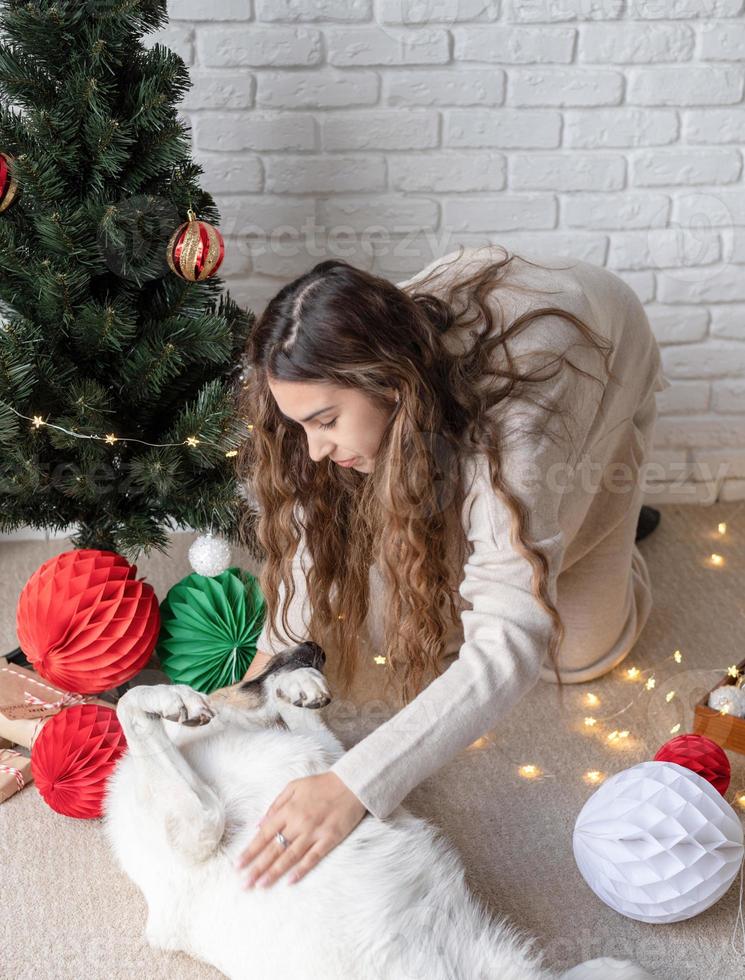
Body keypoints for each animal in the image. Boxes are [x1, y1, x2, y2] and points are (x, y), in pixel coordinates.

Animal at [100, 644, 656, 980]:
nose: (317, 646)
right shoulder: (198, 828)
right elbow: (130, 706)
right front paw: (171, 697)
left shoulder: (330, 770)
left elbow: (303, 719)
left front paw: (300, 685)